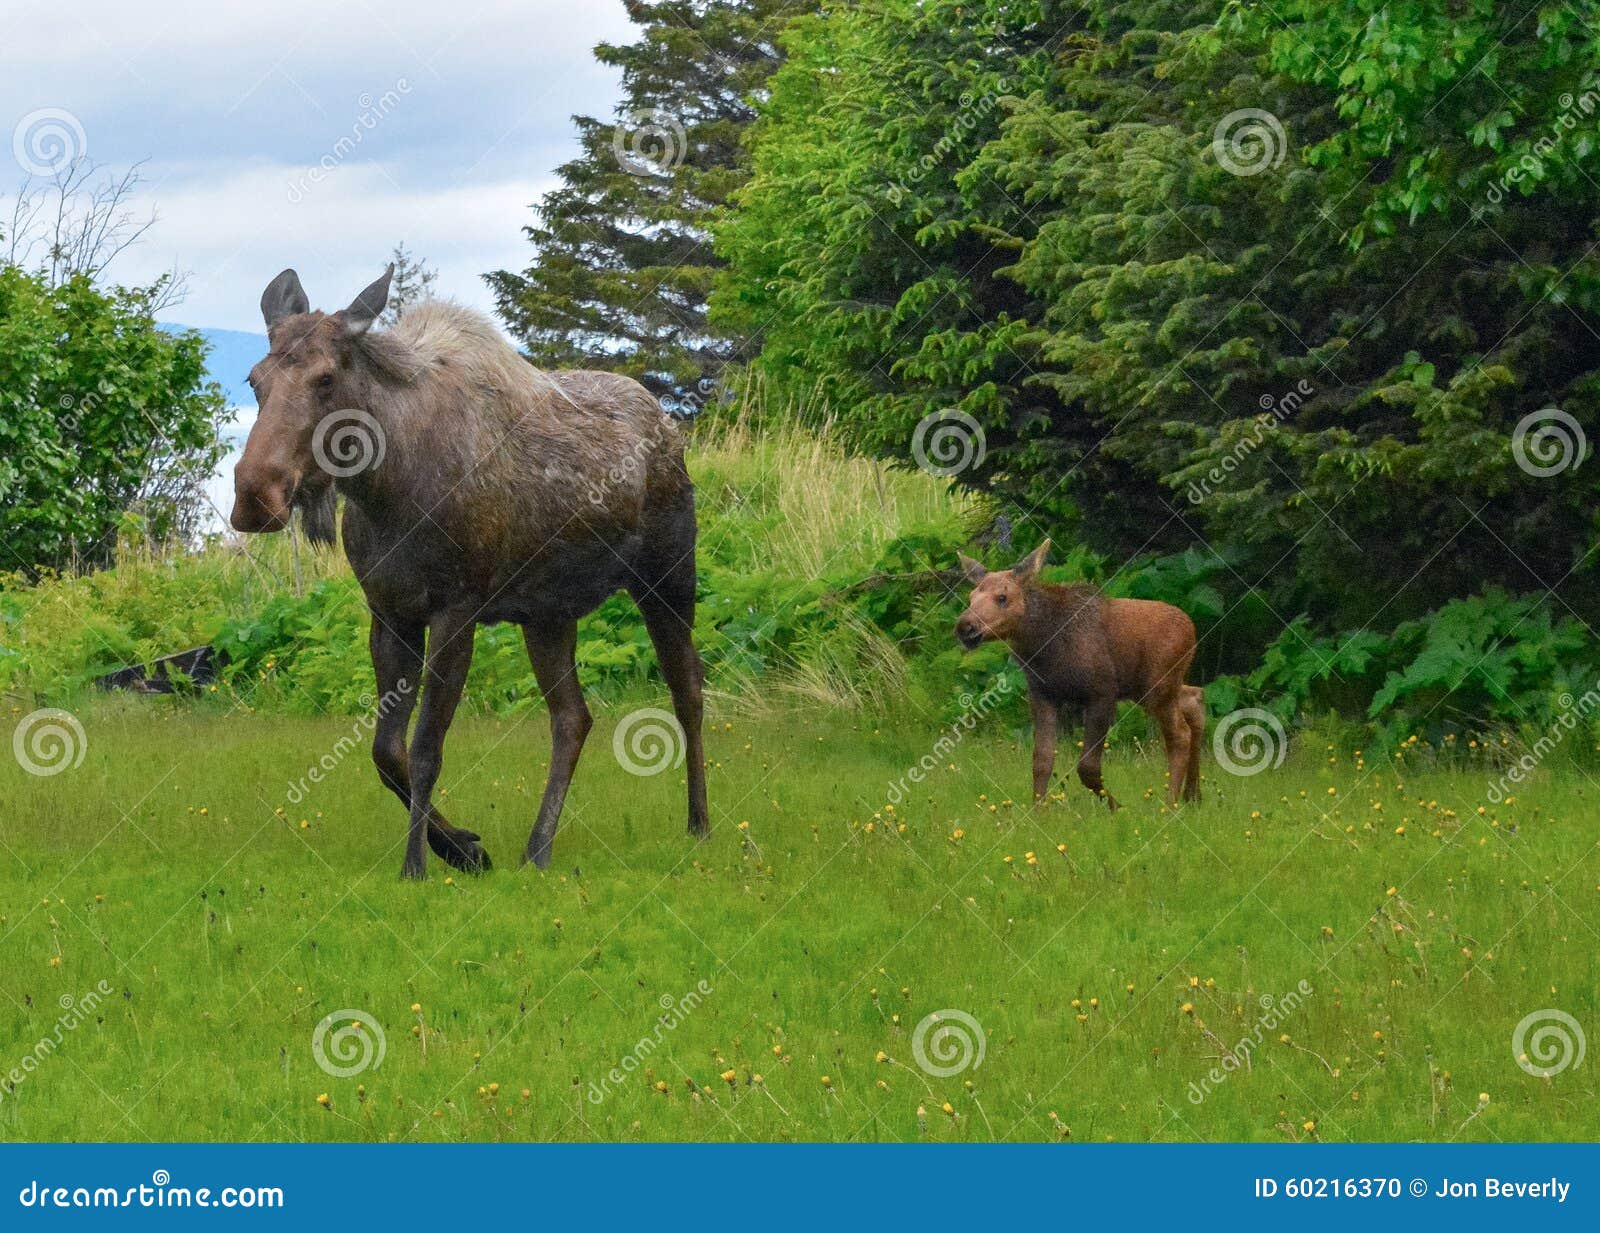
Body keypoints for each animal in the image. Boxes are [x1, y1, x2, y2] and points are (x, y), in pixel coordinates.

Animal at [232, 267, 707, 876]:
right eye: (254, 379)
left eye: (326, 378)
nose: (255, 494)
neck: (383, 489)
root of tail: (670, 429)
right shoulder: (390, 615)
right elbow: (385, 751)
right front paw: (461, 848)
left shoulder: (455, 610)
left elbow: (426, 748)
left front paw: (416, 866)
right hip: (548, 614)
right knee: (574, 717)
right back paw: (537, 848)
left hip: (668, 577)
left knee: (687, 689)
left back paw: (698, 824)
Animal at [947, 540, 1203, 809]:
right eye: (971, 597)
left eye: (1002, 597)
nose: (965, 626)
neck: (1041, 648)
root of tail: (1192, 631)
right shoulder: (1043, 695)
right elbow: (1042, 760)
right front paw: (1038, 812)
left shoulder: (1102, 693)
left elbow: (1087, 767)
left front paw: (1116, 807)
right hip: (1153, 688)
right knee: (1195, 698)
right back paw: (1193, 795)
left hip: (1158, 687)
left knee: (1179, 735)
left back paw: (1170, 804)